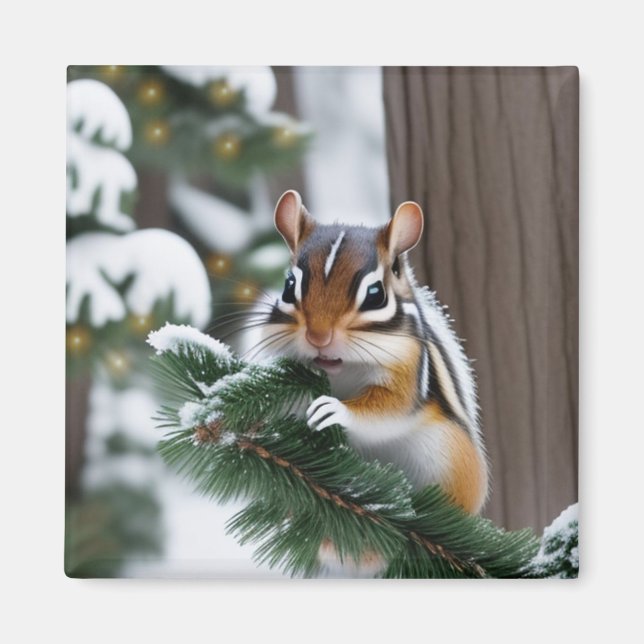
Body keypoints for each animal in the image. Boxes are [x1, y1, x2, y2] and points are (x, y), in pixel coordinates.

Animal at [262, 190, 489, 574]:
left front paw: (334, 411)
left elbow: (389, 409)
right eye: (289, 286)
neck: (341, 371)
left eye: (375, 294)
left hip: (450, 457)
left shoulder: (408, 370)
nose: (318, 336)